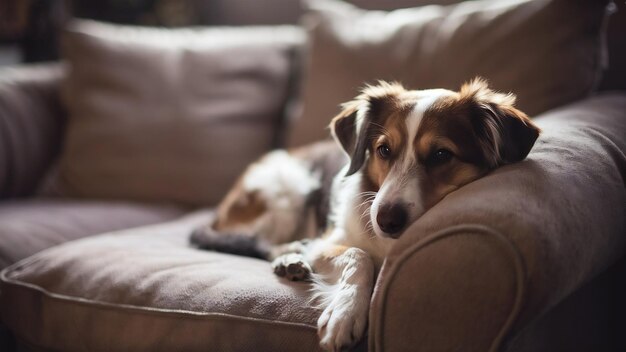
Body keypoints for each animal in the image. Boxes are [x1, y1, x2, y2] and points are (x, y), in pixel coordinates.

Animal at [189, 78, 536, 350]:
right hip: (287, 189)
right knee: (258, 241)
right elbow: (359, 254)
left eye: (441, 154)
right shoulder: (328, 241)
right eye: (384, 150)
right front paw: (345, 314)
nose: (386, 220)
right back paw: (290, 256)